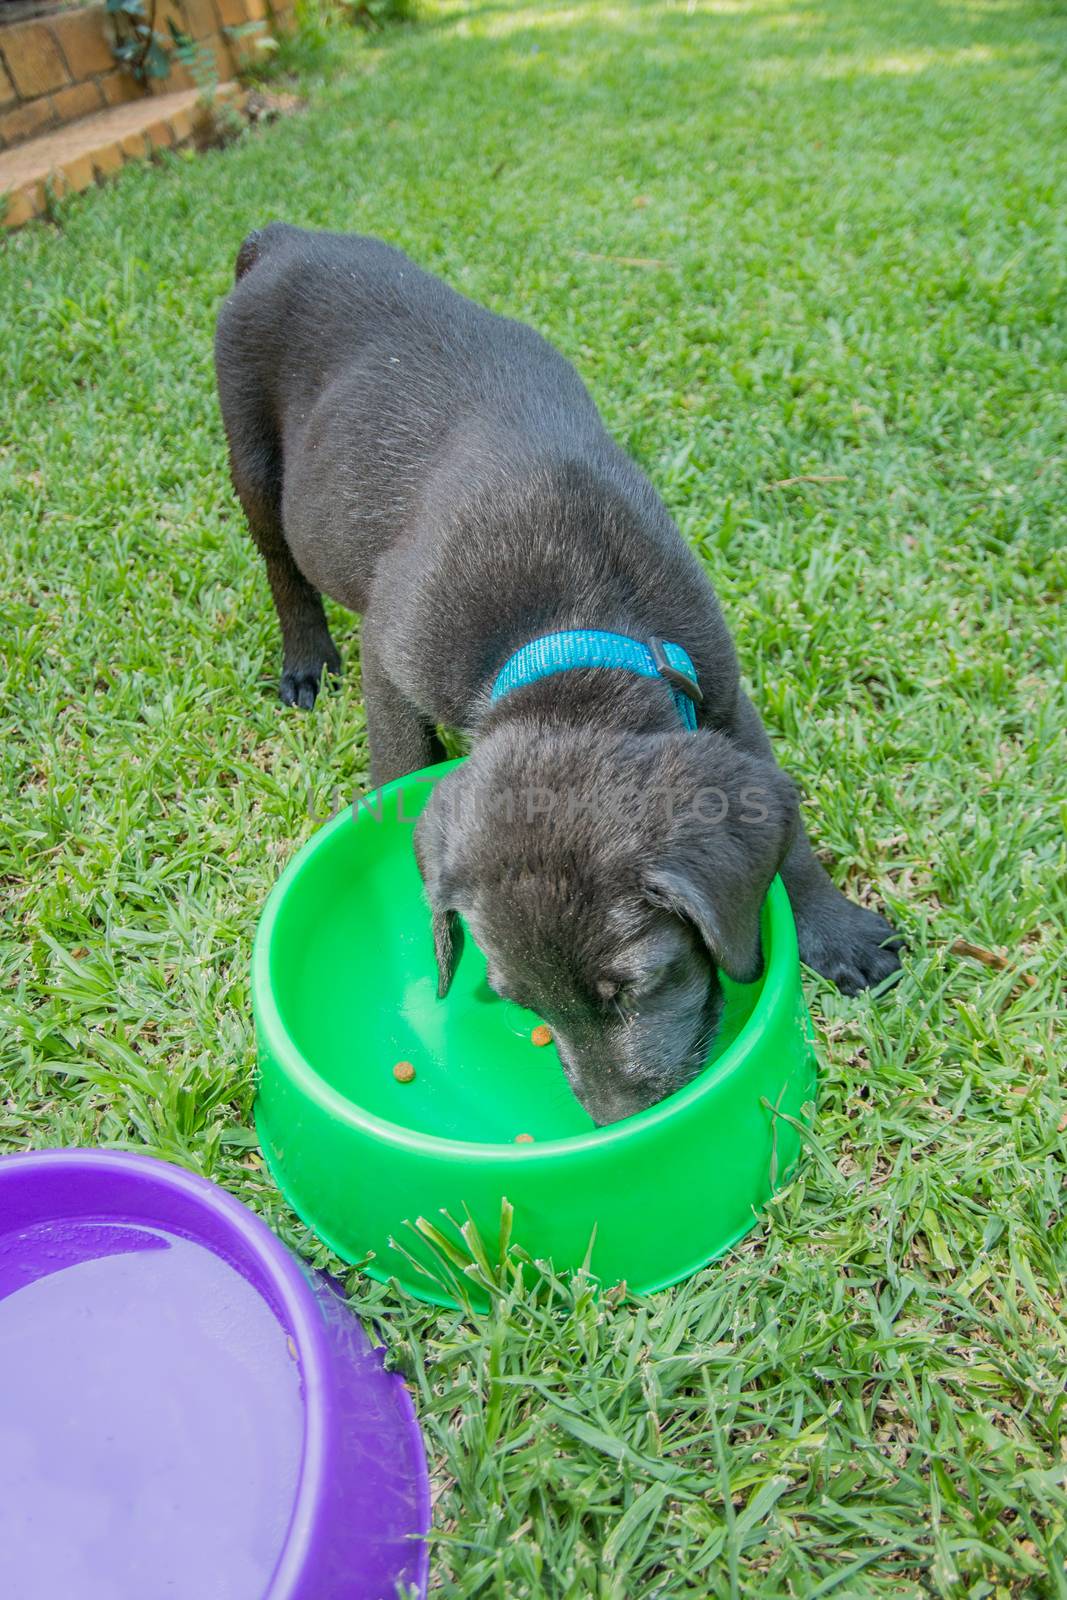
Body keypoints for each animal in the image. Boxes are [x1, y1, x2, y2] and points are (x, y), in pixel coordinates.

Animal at [217, 225, 902, 1126]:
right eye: (523, 1005)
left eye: (630, 989)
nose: (617, 1126)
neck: (562, 632)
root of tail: (284, 239)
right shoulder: (390, 659)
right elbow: (397, 764)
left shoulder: (716, 688)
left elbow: (786, 839)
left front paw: (837, 932)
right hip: (252, 459)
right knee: (281, 567)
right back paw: (304, 661)